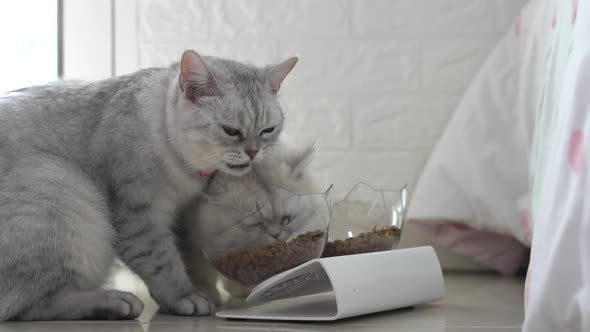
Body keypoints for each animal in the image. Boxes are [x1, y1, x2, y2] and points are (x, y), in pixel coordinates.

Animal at [0, 50, 298, 320]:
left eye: (268, 131)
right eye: (230, 131)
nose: (253, 153)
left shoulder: (180, 216)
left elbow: (184, 258)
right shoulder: (139, 216)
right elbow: (162, 262)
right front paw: (186, 296)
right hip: (60, 192)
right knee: (27, 306)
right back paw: (115, 302)